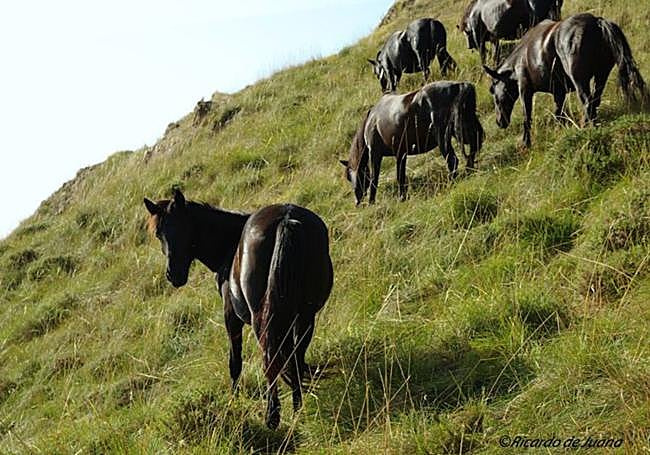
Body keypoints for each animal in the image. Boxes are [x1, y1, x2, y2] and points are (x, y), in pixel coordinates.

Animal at [144, 190, 333, 429]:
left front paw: (234, 400)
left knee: (270, 359)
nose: (173, 275)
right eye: (159, 234)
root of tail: (286, 220)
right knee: (296, 356)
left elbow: (235, 362)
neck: (229, 246)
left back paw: (272, 417)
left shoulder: (230, 316)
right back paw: (297, 407)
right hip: (305, 315)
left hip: (263, 320)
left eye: (182, 227)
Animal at [339, 81, 484, 205]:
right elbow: (401, 177)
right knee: (472, 150)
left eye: (350, 176)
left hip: (443, 138)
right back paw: (469, 171)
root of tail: (460, 85)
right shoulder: (401, 154)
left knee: (452, 160)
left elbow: (375, 179)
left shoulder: (375, 154)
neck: (371, 121)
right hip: (466, 130)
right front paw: (402, 197)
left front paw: (372, 202)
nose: (357, 201)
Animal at [483, 13, 647, 147]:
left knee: (588, 102)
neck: (519, 60)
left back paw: (587, 128)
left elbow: (527, 117)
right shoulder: (559, 92)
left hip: (580, 80)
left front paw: (526, 143)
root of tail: (597, 22)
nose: (499, 122)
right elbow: (559, 113)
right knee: (595, 101)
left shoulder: (525, 90)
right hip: (601, 76)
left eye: (495, 95)